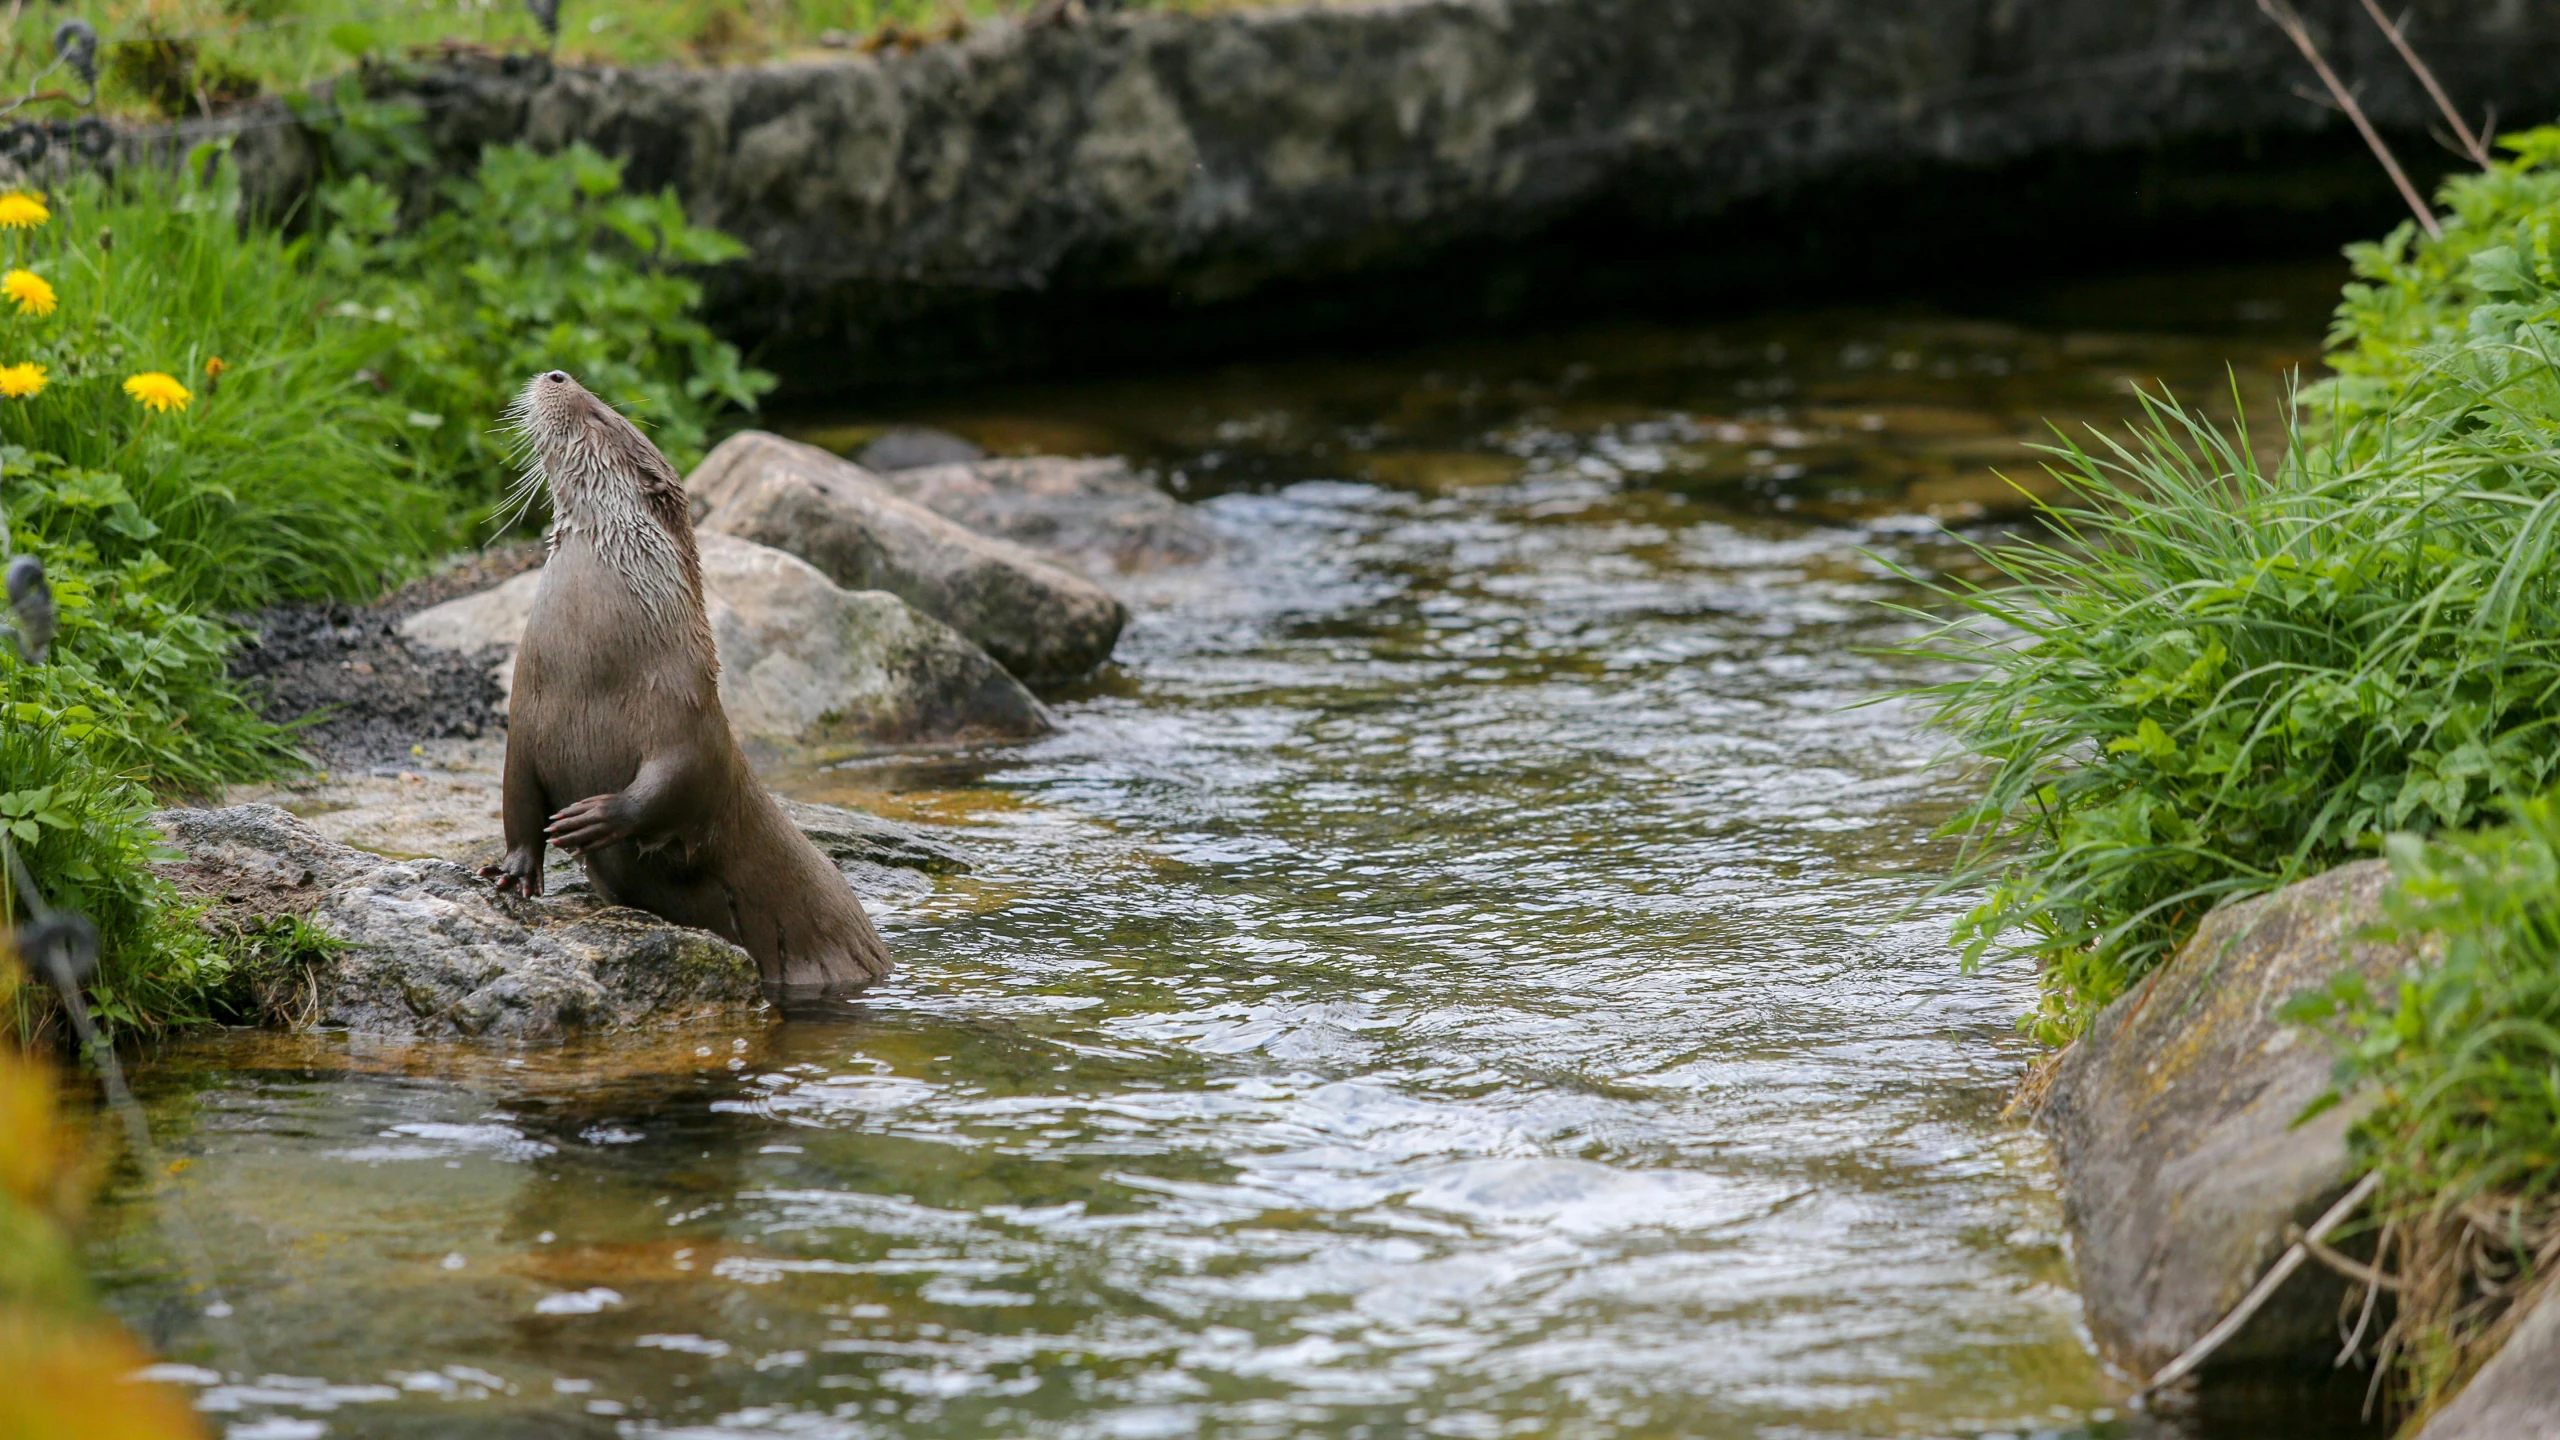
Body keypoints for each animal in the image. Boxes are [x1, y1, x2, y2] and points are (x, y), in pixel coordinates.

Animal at [483, 371, 896, 983]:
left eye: (599, 415)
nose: (557, 375)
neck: (591, 677)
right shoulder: (525, 721)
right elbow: (518, 805)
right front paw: (513, 872)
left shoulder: (687, 717)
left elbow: (679, 783)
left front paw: (598, 816)